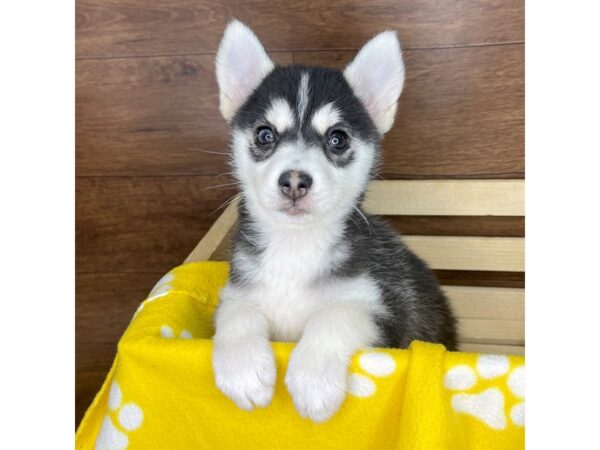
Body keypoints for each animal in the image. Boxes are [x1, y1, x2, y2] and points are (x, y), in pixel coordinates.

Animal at [210, 20, 454, 422]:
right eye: (265, 134)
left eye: (337, 139)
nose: (294, 180)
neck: (295, 248)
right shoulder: (240, 291)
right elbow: (235, 314)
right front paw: (243, 369)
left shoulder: (383, 312)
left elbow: (334, 315)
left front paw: (313, 379)